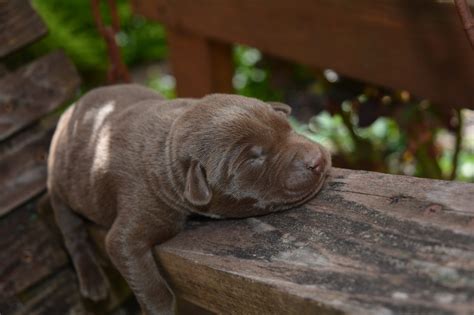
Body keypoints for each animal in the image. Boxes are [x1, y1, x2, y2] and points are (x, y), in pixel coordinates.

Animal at [47, 84, 330, 315]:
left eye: (286, 126)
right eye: (253, 159)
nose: (317, 160)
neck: (168, 145)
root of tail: (69, 112)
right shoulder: (136, 215)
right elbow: (144, 276)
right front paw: (159, 309)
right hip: (59, 187)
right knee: (71, 232)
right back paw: (92, 281)